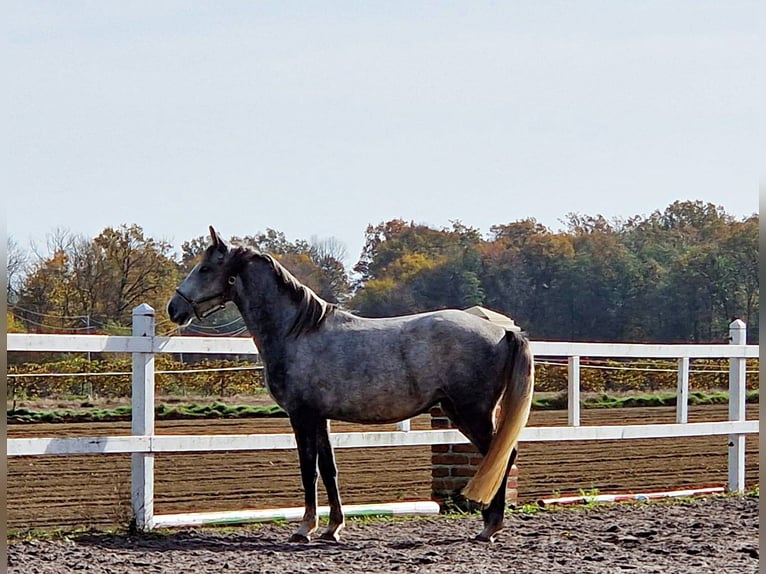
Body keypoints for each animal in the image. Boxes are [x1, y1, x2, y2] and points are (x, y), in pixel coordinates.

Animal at [169, 228, 536, 544]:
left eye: (205, 268)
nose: (175, 308)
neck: (297, 331)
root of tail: (503, 331)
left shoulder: (302, 416)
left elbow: (308, 469)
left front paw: (305, 528)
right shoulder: (321, 418)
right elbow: (329, 469)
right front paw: (333, 527)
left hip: (472, 413)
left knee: (502, 454)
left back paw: (490, 527)